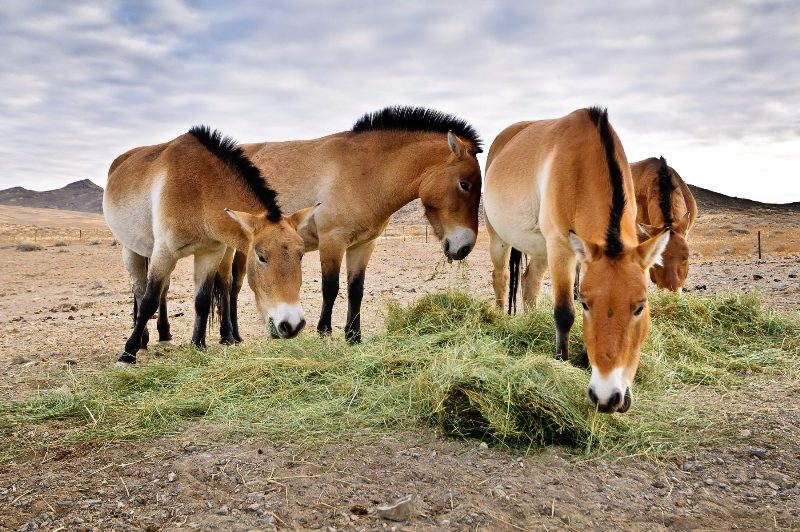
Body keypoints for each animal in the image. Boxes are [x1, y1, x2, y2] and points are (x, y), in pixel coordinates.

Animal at [105, 125, 316, 366]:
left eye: (301, 255)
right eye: (261, 257)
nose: (293, 324)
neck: (201, 190)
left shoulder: (210, 253)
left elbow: (202, 301)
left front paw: (198, 345)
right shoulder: (164, 252)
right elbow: (149, 302)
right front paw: (127, 354)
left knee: (162, 291)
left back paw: (163, 333)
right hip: (131, 249)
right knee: (140, 290)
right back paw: (142, 340)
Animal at [198, 106, 482, 342]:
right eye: (464, 184)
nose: (464, 248)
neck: (365, 171)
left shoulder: (363, 245)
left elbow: (356, 290)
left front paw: (353, 336)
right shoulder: (332, 241)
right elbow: (330, 288)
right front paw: (324, 332)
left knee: (234, 285)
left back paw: (235, 335)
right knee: (226, 284)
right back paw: (228, 336)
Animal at [484, 108, 672, 414]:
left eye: (640, 307)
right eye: (585, 304)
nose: (608, 398)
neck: (583, 165)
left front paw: (585, 358)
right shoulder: (562, 247)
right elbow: (564, 312)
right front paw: (561, 361)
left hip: (540, 251)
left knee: (529, 283)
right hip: (499, 238)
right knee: (500, 279)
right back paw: (501, 318)